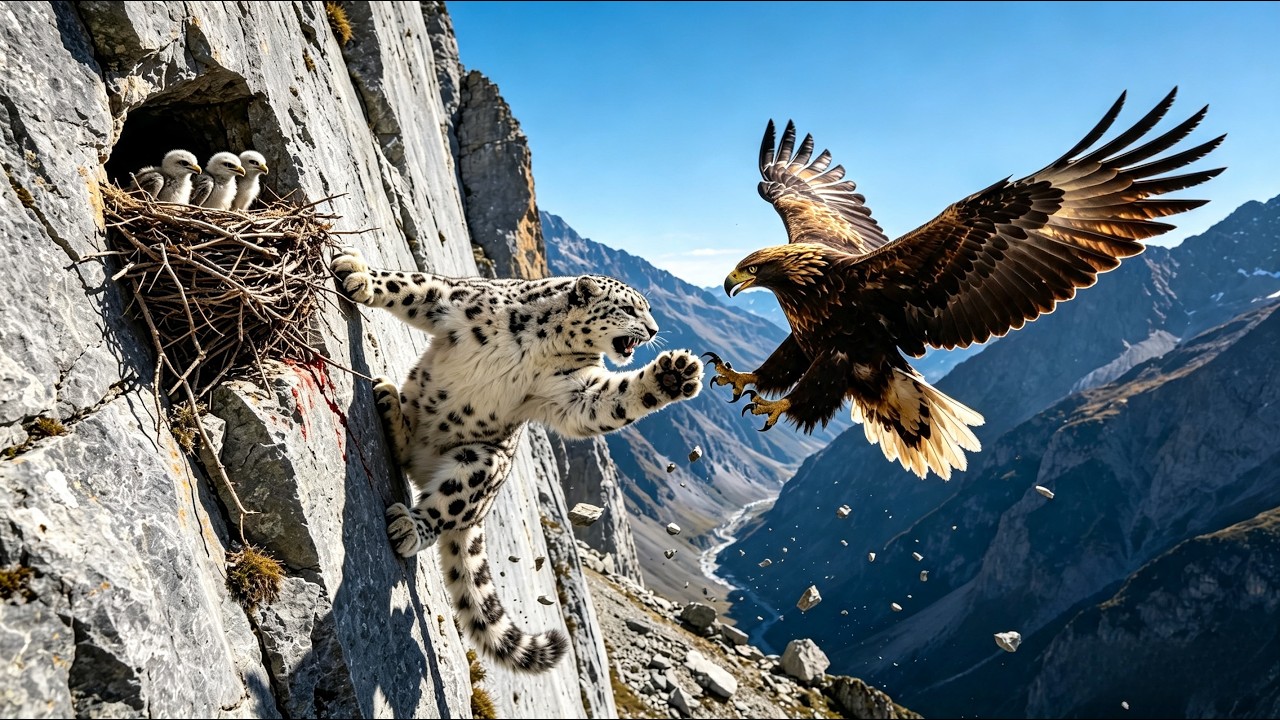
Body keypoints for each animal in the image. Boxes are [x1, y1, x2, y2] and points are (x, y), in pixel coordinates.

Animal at [330, 247, 702, 673]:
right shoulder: (455, 299)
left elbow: (614, 400)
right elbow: (411, 285)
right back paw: (390, 403)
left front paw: (673, 377)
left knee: (443, 509)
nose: (655, 331)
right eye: (629, 308)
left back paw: (410, 523)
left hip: (482, 461)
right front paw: (358, 273)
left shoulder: (576, 392)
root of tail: (479, 512)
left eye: (648, 310)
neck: (544, 343)